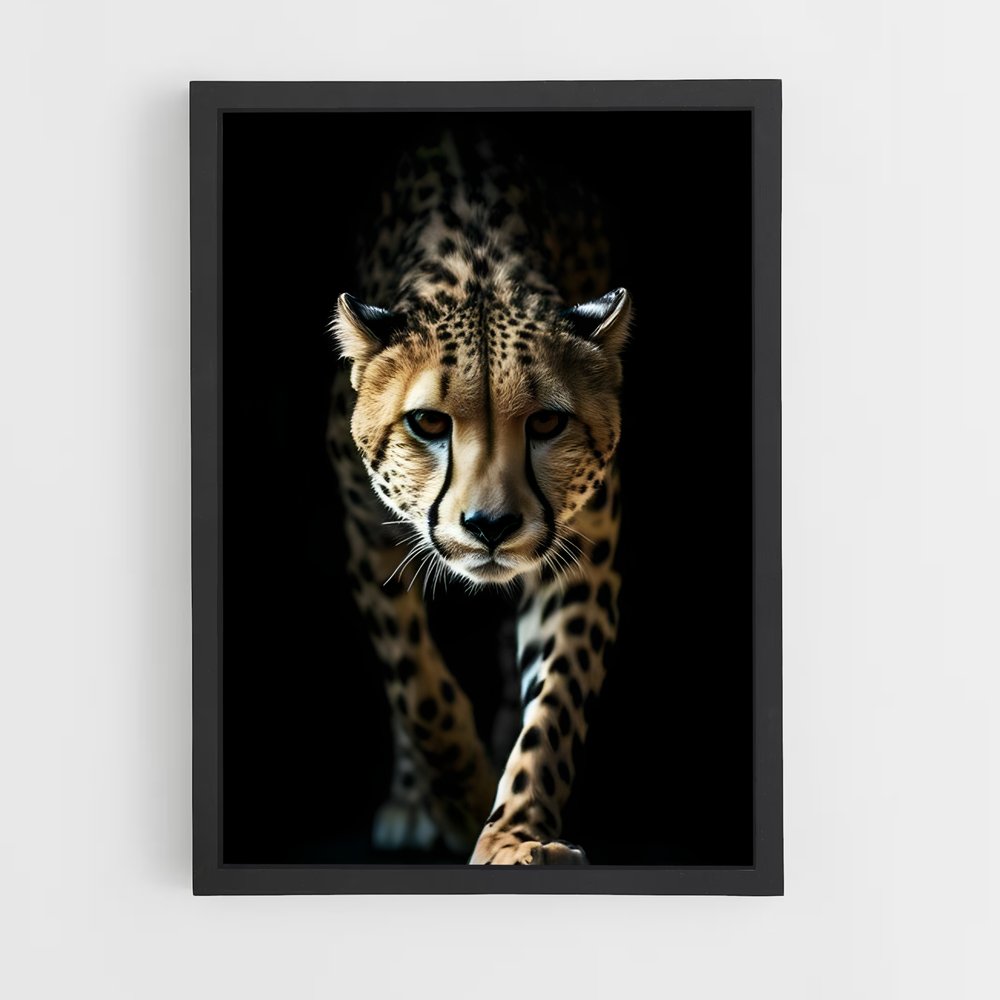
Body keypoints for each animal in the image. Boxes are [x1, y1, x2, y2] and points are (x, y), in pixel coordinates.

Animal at [326, 131, 629, 865]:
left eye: (546, 422)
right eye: (427, 423)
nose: (490, 525)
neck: (478, 261)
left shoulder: (584, 549)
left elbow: (554, 702)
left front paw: (514, 834)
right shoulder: (366, 536)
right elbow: (416, 686)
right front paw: (459, 794)